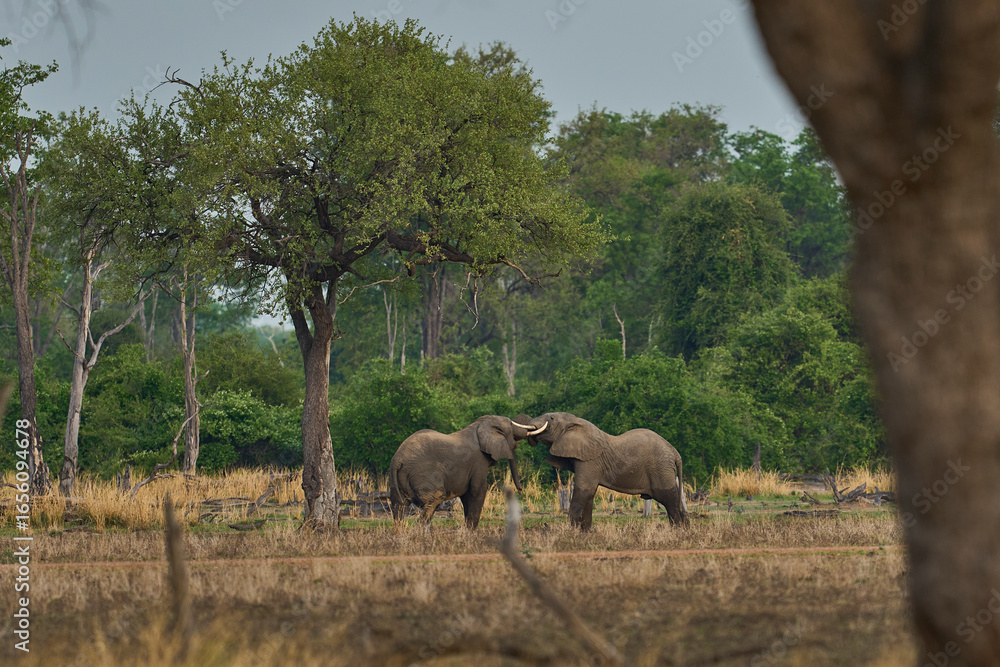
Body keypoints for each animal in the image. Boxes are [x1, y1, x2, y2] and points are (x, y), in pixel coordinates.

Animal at [389, 415, 544, 529]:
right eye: (511, 426)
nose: (521, 490)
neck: (480, 425)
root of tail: (398, 459)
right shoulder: (478, 462)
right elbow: (477, 491)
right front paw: (471, 534)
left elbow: (467, 496)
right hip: (423, 474)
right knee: (434, 500)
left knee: (398, 507)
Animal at [516, 412, 687, 529]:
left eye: (551, 418)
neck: (574, 421)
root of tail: (675, 453)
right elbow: (589, 494)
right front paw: (585, 533)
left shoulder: (590, 460)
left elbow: (583, 491)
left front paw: (571, 532)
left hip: (661, 469)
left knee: (669, 500)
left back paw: (678, 531)